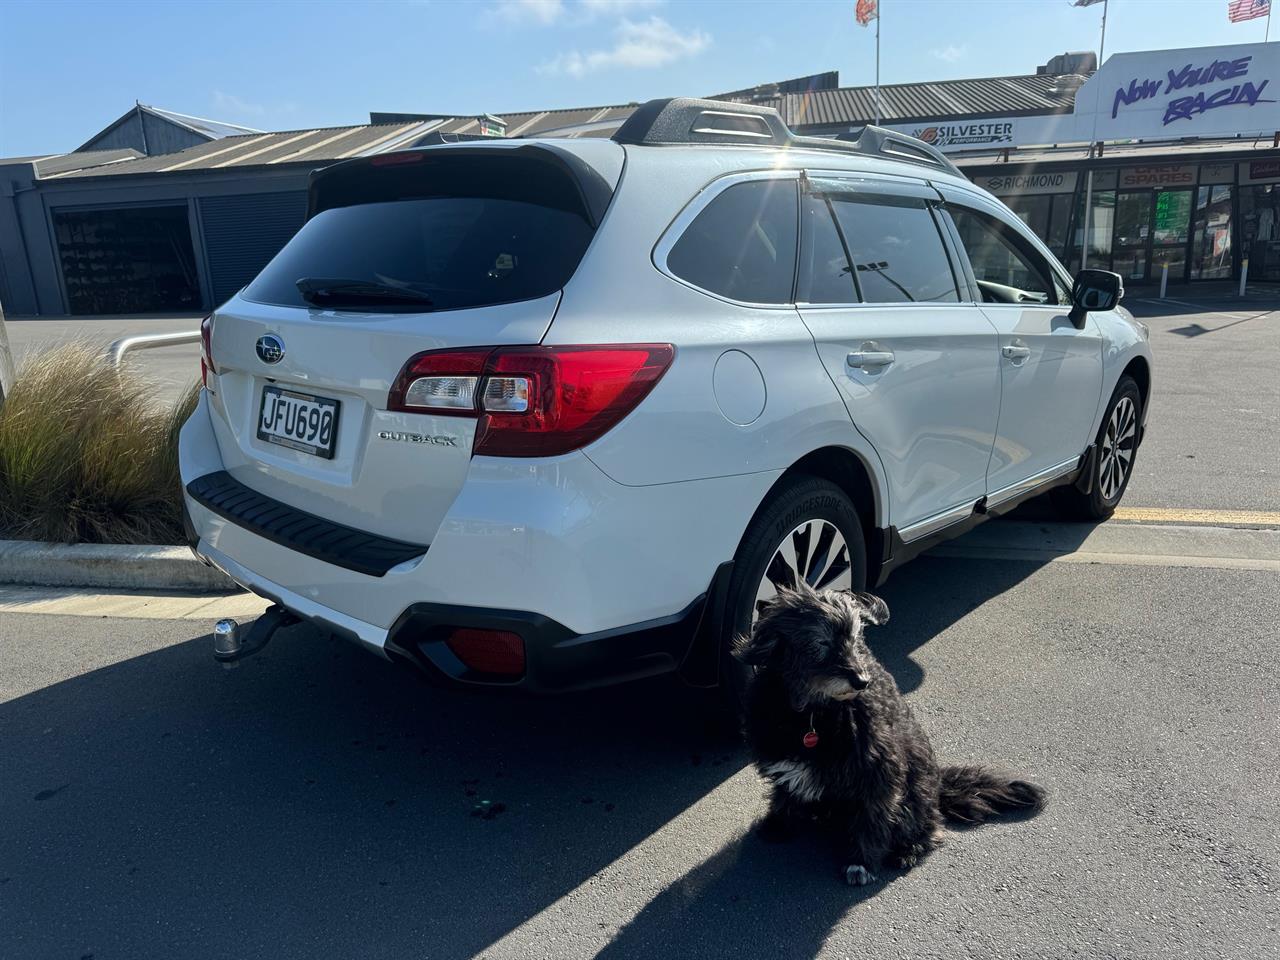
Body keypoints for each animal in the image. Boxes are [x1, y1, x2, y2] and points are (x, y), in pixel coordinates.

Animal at [737, 591, 1044, 890]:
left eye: (855, 638)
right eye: (821, 642)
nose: (862, 681)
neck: (813, 713)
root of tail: (939, 788)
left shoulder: (878, 773)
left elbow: (871, 820)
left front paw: (860, 862)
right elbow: (785, 794)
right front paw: (779, 823)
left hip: (915, 792)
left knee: (930, 826)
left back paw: (909, 848)